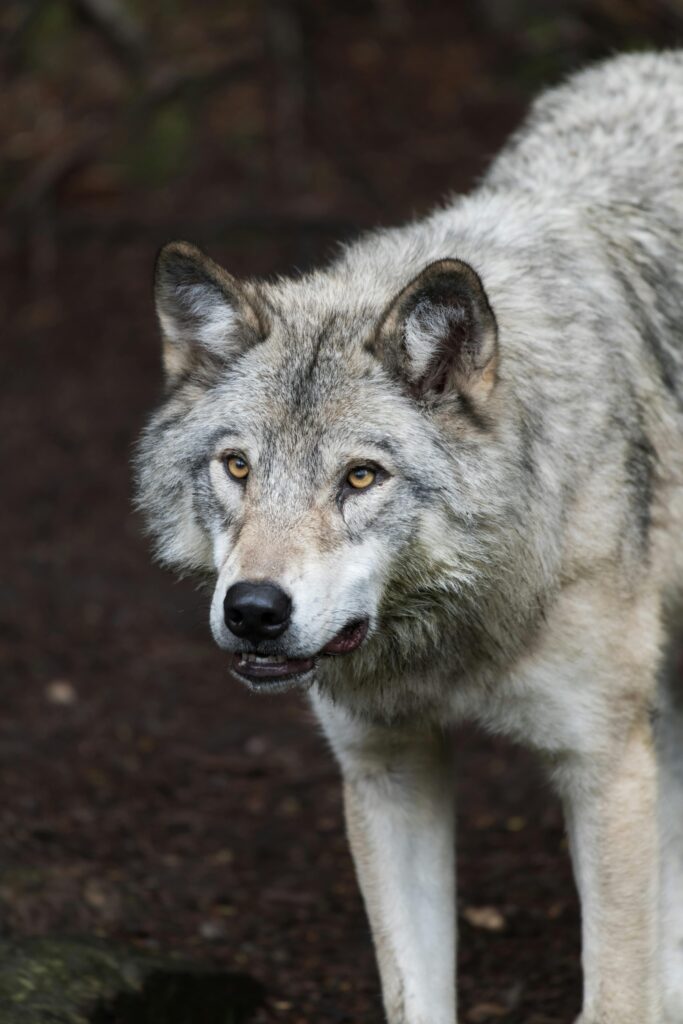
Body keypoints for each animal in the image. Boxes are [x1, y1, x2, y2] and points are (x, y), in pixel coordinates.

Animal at [134, 51, 683, 1023]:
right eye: (237, 468)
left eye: (360, 477)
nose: (253, 611)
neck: (452, 631)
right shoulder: (386, 768)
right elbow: (413, 994)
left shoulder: (603, 764)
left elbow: (616, 993)